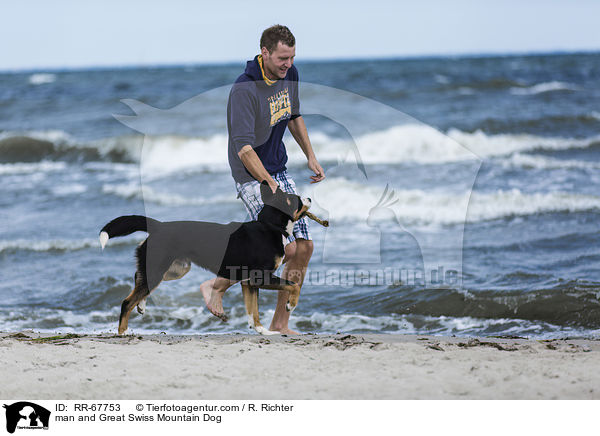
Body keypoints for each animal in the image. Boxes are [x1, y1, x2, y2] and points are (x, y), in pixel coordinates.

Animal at [99, 182, 312, 336]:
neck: (270, 226)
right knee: (127, 301)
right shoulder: (260, 277)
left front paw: (263, 331)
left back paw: (141, 306)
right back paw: (123, 332)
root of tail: (158, 226)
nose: (309, 197)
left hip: (174, 269)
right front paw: (291, 304)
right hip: (159, 270)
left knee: (138, 279)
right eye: (296, 199)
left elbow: (253, 312)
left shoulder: (248, 282)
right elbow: (293, 285)